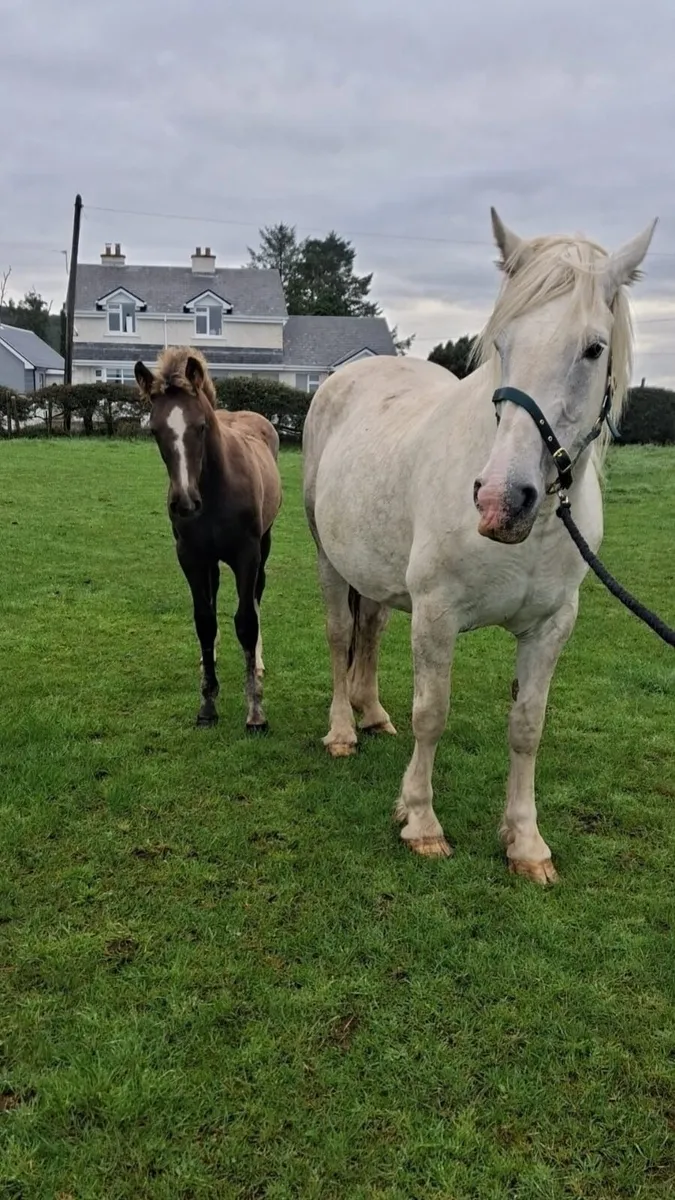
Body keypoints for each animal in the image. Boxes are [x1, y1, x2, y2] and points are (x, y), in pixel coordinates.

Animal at [135, 348, 282, 732]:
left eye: (200, 426)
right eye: (154, 430)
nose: (185, 502)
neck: (216, 488)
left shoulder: (247, 555)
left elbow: (246, 622)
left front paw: (256, 711)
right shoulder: (191, 556)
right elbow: (204, 620)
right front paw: (207, 703)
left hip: (264, 544)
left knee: (257, 597)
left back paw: (258, 662)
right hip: (210, 561)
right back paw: (208, 661)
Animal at [303, 209, 657, 884]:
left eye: (593, 348)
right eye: (502, 345)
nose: (500, 500)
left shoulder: (551, 626)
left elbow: (527, 726)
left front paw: (525, 842)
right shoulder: (437, 615)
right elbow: (432, 713)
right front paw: (420, 822)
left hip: (378, 573)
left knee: (371, 630)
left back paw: (371, 713)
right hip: (331, 561)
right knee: (339, 636)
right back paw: (341, 731)